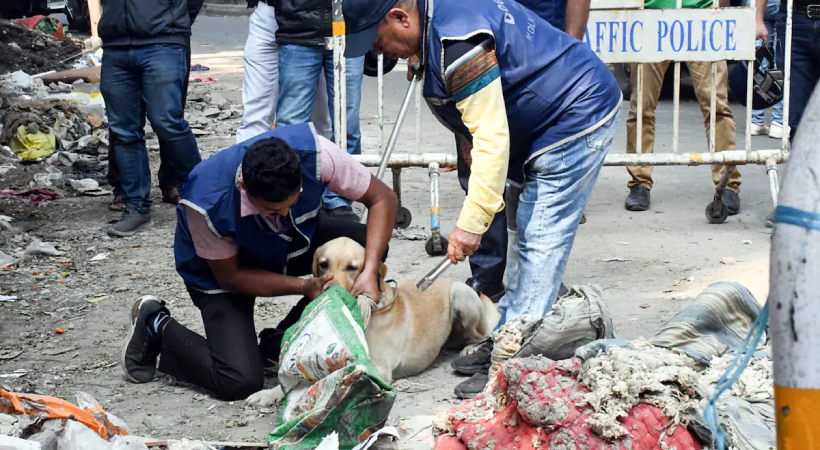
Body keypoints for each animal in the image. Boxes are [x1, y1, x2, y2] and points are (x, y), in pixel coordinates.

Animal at [310, 236, 496, 384]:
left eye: (352, 268)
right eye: (324, 265)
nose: (327, 291)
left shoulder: (381, 367)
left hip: (460, 293)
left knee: (481, 335)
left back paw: (471, 348)